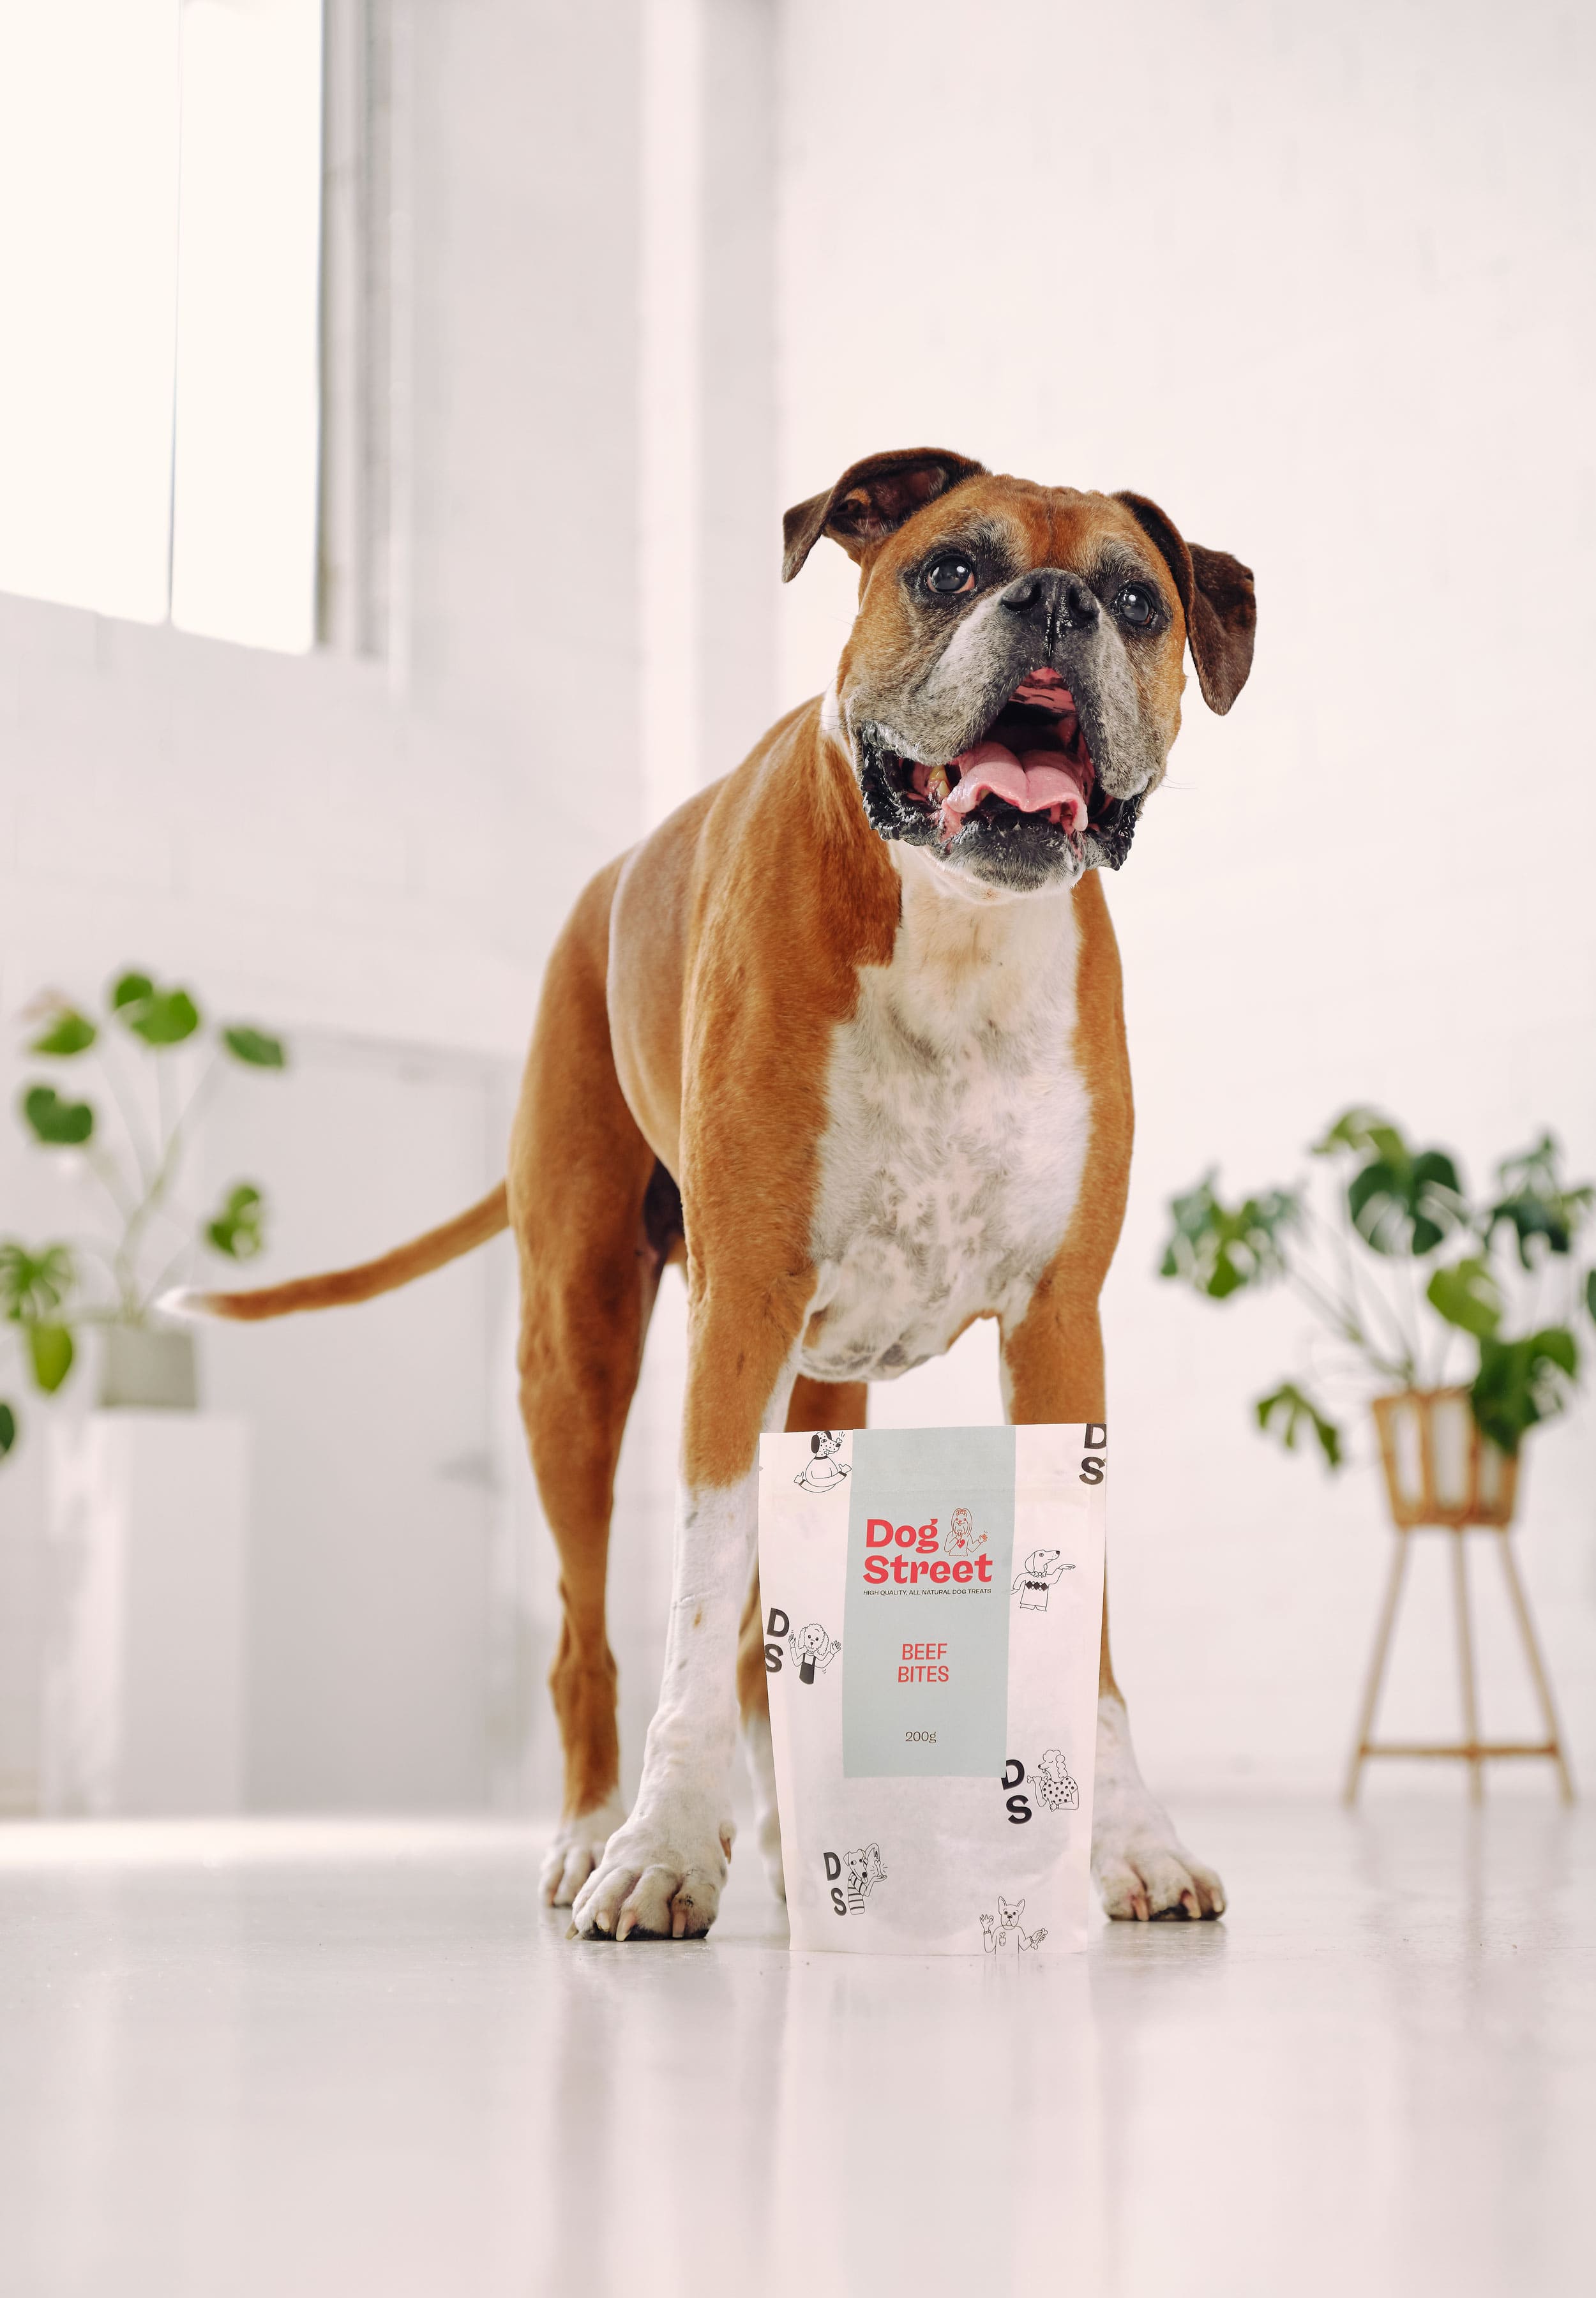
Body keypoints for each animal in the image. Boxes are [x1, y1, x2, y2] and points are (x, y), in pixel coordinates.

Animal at [172, 443, 1251, 1939]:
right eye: (949, 569)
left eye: (1137, 601)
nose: (1051, 607)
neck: (956, 934)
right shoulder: (736, 1313)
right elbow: (691, 1600)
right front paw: (664, 1845)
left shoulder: (1057, 1330)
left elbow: (1072, 1630)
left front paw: (1133, 1842)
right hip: (577, 1357)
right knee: (589, 1635)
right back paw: (589, 1831)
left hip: (822, 1392)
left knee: (759, 1641)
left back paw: (797, 1844)